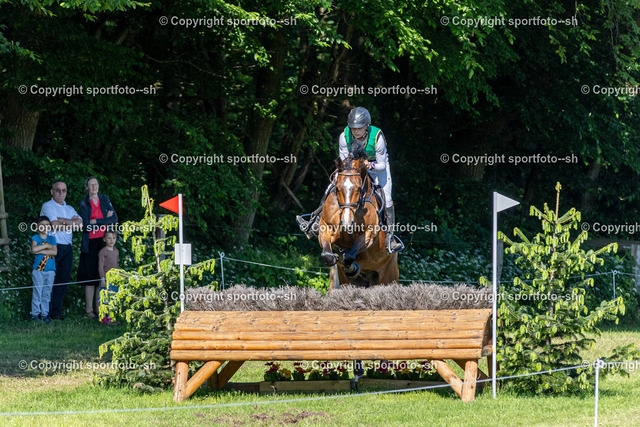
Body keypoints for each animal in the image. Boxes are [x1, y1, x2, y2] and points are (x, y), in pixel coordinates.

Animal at [318, 150, 399, 289]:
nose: (346, 223)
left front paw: (352, 268)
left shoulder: (369, 234)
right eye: (337, 188)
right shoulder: (325, 227)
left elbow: (349, 256)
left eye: (359, 189)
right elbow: (328, 256)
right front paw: (336, 256)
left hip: (389, 277)